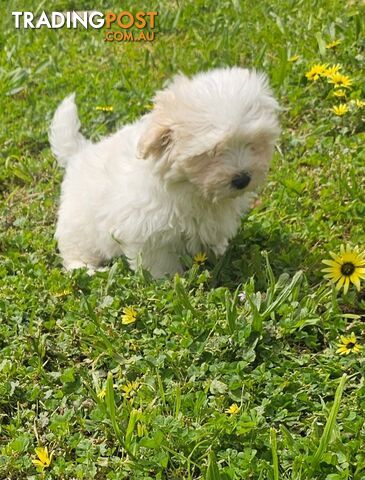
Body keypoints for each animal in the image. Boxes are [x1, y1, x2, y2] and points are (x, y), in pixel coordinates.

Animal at [49, 67, 278, 278]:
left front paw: (218, 256)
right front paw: (167, 280)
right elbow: (159, 260)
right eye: (211, 153)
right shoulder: (146, 229)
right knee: (75, 250)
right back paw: (86, 269)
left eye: (253, 143)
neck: (189, 187)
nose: (243, 179)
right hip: (78, 224)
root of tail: (79, 153)